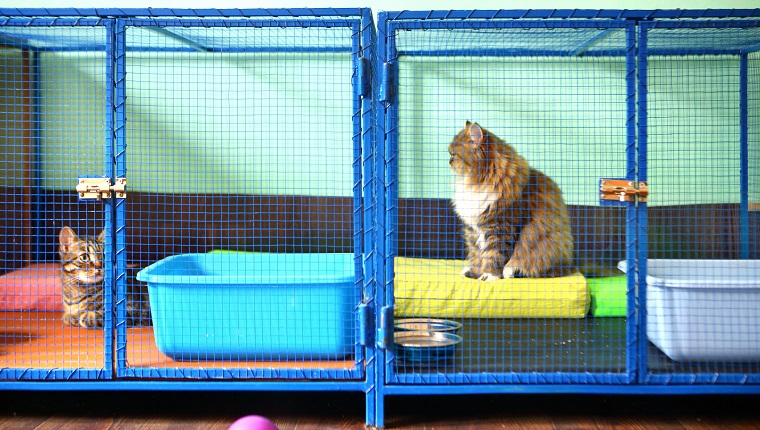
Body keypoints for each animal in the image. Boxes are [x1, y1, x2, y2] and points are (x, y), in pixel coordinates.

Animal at [448, 122, 572, 282]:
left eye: (453, 154)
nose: (449, 161)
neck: (479, 182)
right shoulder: (473, 230)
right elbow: (476, 255)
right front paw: (475, 273)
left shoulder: (500, 227)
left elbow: (493, 255)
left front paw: (489, 275)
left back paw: (511, 271)